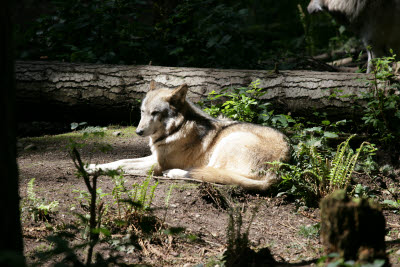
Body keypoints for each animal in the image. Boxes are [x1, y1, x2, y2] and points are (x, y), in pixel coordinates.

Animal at [89, 82, 290, 192]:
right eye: (142, 112)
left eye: (155, 113)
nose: (138, 132)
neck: (176, 129)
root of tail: (281, 166)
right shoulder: (153, 157)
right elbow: (120, 161)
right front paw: (93, 166)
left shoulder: (157, 165)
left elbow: (122, 167)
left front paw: (95, 169)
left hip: (227, 142)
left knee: (204, 175)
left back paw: (173, 173)